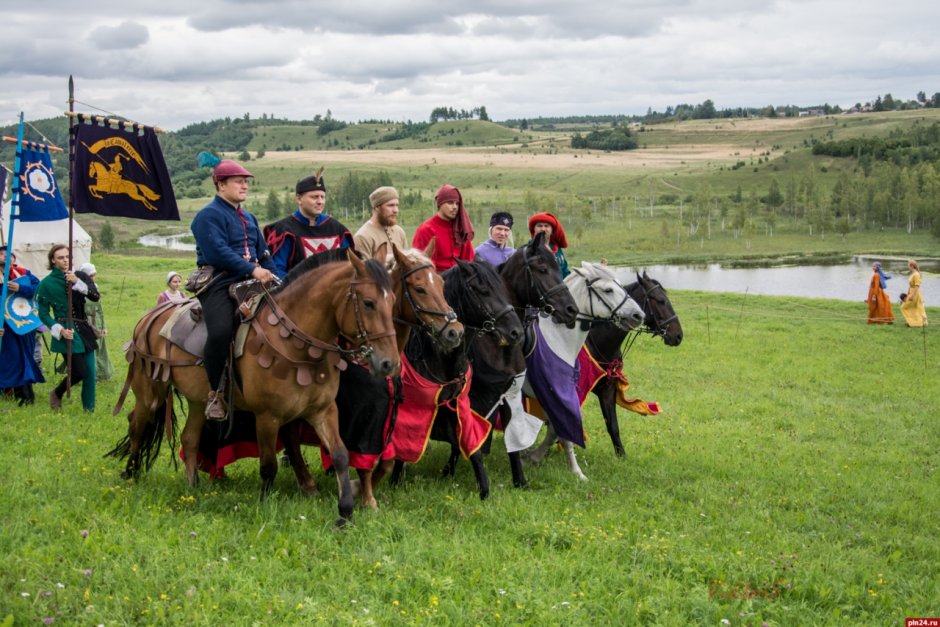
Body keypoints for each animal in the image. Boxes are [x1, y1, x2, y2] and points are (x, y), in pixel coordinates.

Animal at [111, 248, 400, 528]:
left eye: (393, 302)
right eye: (368, 303)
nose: (389, 363)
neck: (293, 341)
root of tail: (149, 316)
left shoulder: (323, 411)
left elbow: (340, 455)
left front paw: (346, 511)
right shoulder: (267, 416)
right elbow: (268, 464)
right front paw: (265, 502)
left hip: (197, 400)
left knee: (189, 439)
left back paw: (192, 486)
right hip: (150, 390)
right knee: (137, 423)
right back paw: (131, 473)